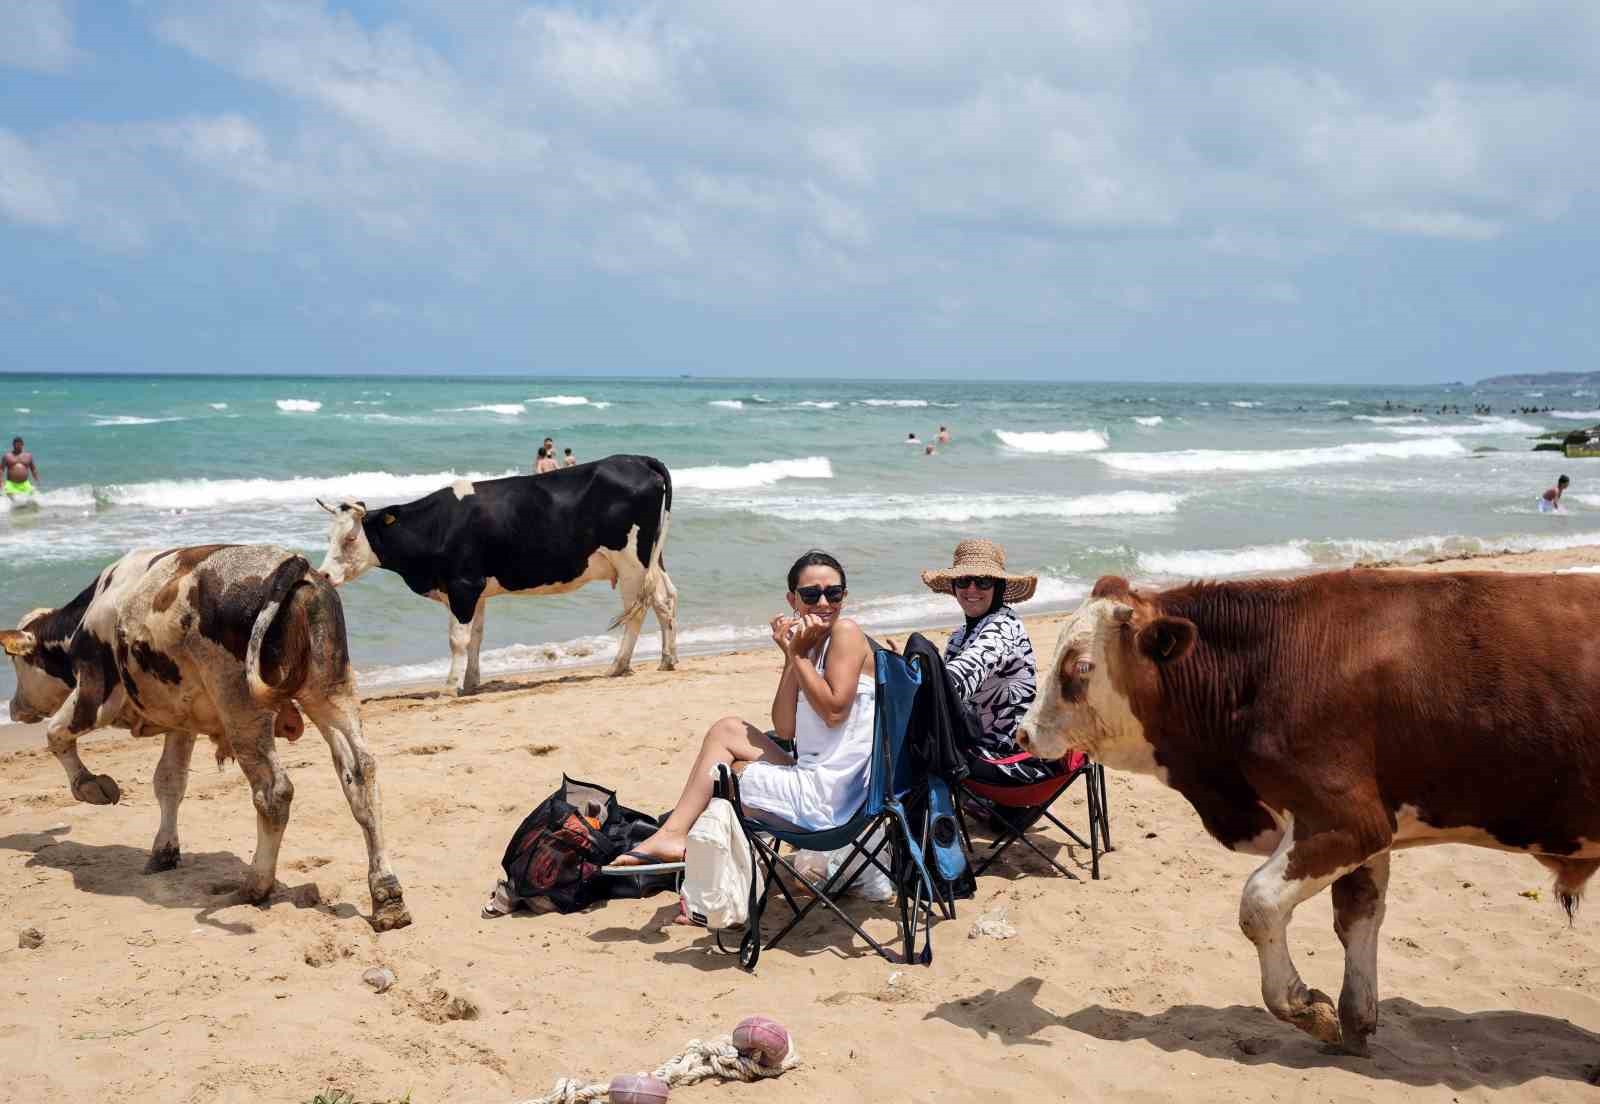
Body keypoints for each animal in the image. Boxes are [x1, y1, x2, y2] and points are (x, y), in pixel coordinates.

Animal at [1, 540, 412, 928]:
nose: (14, 707)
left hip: (241, 707)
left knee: (274, 792)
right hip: (330, 691)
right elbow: (169, 782)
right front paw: (164, 851)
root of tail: (291, 565)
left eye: (16, 662)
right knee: (361, 776)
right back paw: (387, 896)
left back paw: (255, 886)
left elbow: (56, 733)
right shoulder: (181, 723)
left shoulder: (94, 692)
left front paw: (91, 786)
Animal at [318, 451, 675, 691]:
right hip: (652, 559)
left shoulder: (462, 586)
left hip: (631, 563)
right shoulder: (476, 589)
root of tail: (637, 459)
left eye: (350, 538)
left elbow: (458, 639)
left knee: (638, 610)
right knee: (665, 599)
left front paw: (450, 686)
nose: (323, 574)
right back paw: (667, 659)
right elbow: (476, 636)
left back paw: (618, 665)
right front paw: (471, 683)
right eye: (328, 536)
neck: (439, 525)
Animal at [1017, 572, 1600, 1056]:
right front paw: (1355, 1021)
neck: (1264, 668)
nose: (1022, 733)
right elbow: (1357, 916)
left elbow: (1259, 905)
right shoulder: (1372, 829)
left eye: (1080, 665)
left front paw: (1306, 1008)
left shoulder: (1346, 819)